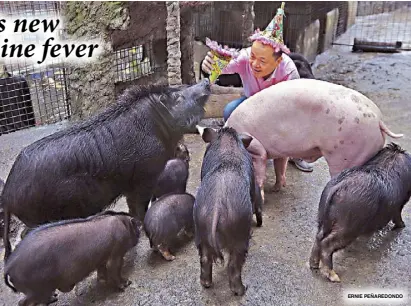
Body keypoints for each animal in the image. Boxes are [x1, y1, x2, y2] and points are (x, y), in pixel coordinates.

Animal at [224, 78, 404, 201]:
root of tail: (378, 119)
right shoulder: (280, 151)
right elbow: (279, 166)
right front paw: (277, 188)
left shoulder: (257, 150)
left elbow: (259, 172)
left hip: (347, 154)